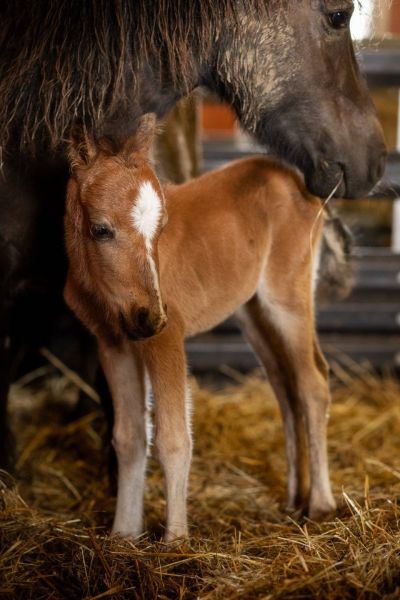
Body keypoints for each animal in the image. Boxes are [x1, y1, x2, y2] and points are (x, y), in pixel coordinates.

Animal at [64, 116, 340, 540]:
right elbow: (128, 437)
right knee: (285, 385)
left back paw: (321, 505)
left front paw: (176, 539)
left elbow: (173, 438)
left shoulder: (167, 338)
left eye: (161, 228)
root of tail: (295, 180)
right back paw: (295, 499)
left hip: (287, 300)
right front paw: (124, 534)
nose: (149, 316)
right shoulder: (113, 343)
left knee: (312, 382)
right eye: (100, 230)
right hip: (252, 311)